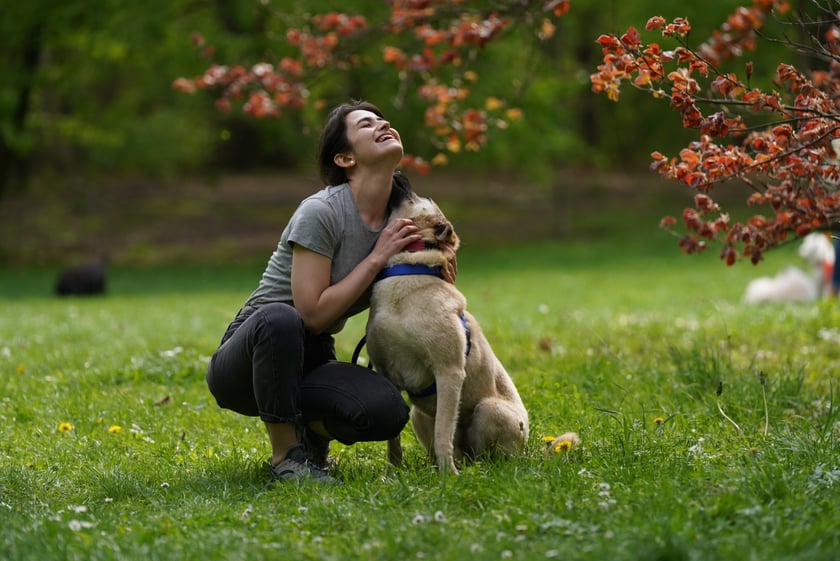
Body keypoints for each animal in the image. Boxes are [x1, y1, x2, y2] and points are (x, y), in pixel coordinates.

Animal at [366, 195, 528, 470]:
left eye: (414, 198)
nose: (400, 183)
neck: (407, 271)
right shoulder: (386, 372)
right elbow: (393, 440)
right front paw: (393, 471)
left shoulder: (449, 371)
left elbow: (443, 434)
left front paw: (448, 475)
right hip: (419, 414)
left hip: (489, 410)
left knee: (485, 456)